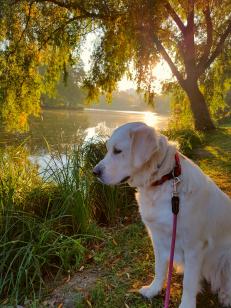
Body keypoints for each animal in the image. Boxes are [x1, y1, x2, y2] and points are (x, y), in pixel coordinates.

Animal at [93, 122, 231, 308]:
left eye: (117, 151)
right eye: (108, 149)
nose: (94, 172)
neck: (163, 180)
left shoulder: (194, 246)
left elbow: (189, 283)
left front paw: (186, 304)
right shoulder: (157, 237)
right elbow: (159, 268)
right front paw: (154, 289)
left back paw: (225, 295)